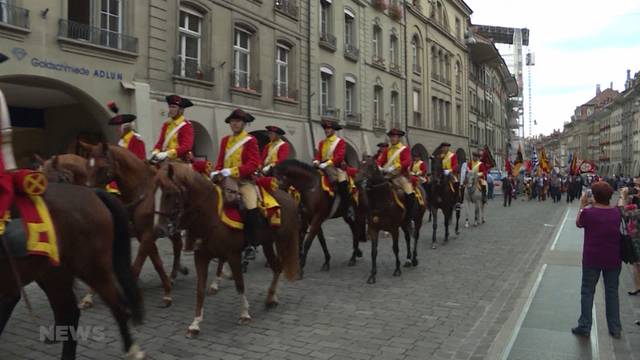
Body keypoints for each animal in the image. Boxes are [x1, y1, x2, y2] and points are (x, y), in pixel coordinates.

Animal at [0, 184, 144, 358]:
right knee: (70, 312)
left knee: (116, 309)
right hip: (55, 276)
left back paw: (132, 350)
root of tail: (90, 191)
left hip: (90, 270)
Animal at [82, 143, 189, 306]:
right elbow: (156, 261)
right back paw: (173, 276)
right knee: (177, 244)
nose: (90, 193)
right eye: (88, 165)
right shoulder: (142, 234)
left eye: (102, 167)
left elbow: (138, 264)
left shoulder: (148, 234)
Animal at [152, 164, 300, 338]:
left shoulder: (233, 255)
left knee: (279, 267)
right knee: (276, 267)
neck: (210, 215)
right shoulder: (200, 256)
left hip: (282, 242)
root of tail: (288, 197)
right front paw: (195, 324)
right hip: (267, 243)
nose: (159, 230)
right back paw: (271, 298)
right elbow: (200, 290)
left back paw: (271, 297)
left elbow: (240, 284)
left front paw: (245, 314)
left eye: (169, 194)